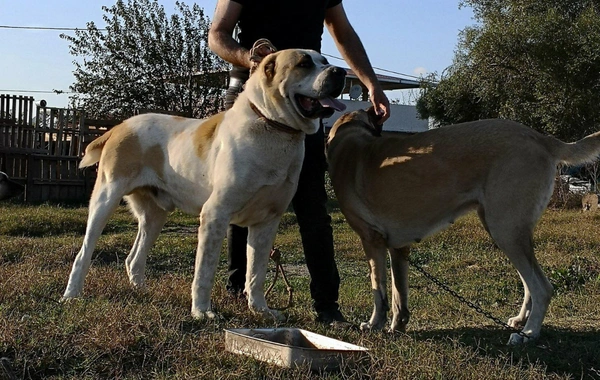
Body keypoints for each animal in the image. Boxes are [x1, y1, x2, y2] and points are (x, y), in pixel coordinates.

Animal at [62, 48, 344, 320]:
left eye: (324, 60)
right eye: (304, 63)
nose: (339, 71)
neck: (272, 126)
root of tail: (119, 126)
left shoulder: (266, 223)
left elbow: (256, 274)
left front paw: (260, 310)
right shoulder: (215, 215)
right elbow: (205, 272)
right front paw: (201, 312)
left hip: (155, 216)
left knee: (134, 258)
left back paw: (142, 291)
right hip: (105, 200)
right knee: (83, 253)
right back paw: (72, 295)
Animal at [326, 107, 600, 344]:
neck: (352, 145)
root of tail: (541, 138)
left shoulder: (372, 241)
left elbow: (379, 291)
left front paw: (374, 324)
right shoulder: (399, 248)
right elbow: (397, 294)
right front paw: (397, 325)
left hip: (506, 231)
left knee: (542, 287)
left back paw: (529, 333)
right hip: (507, 230)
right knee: (528, 283)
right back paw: (522, 320)